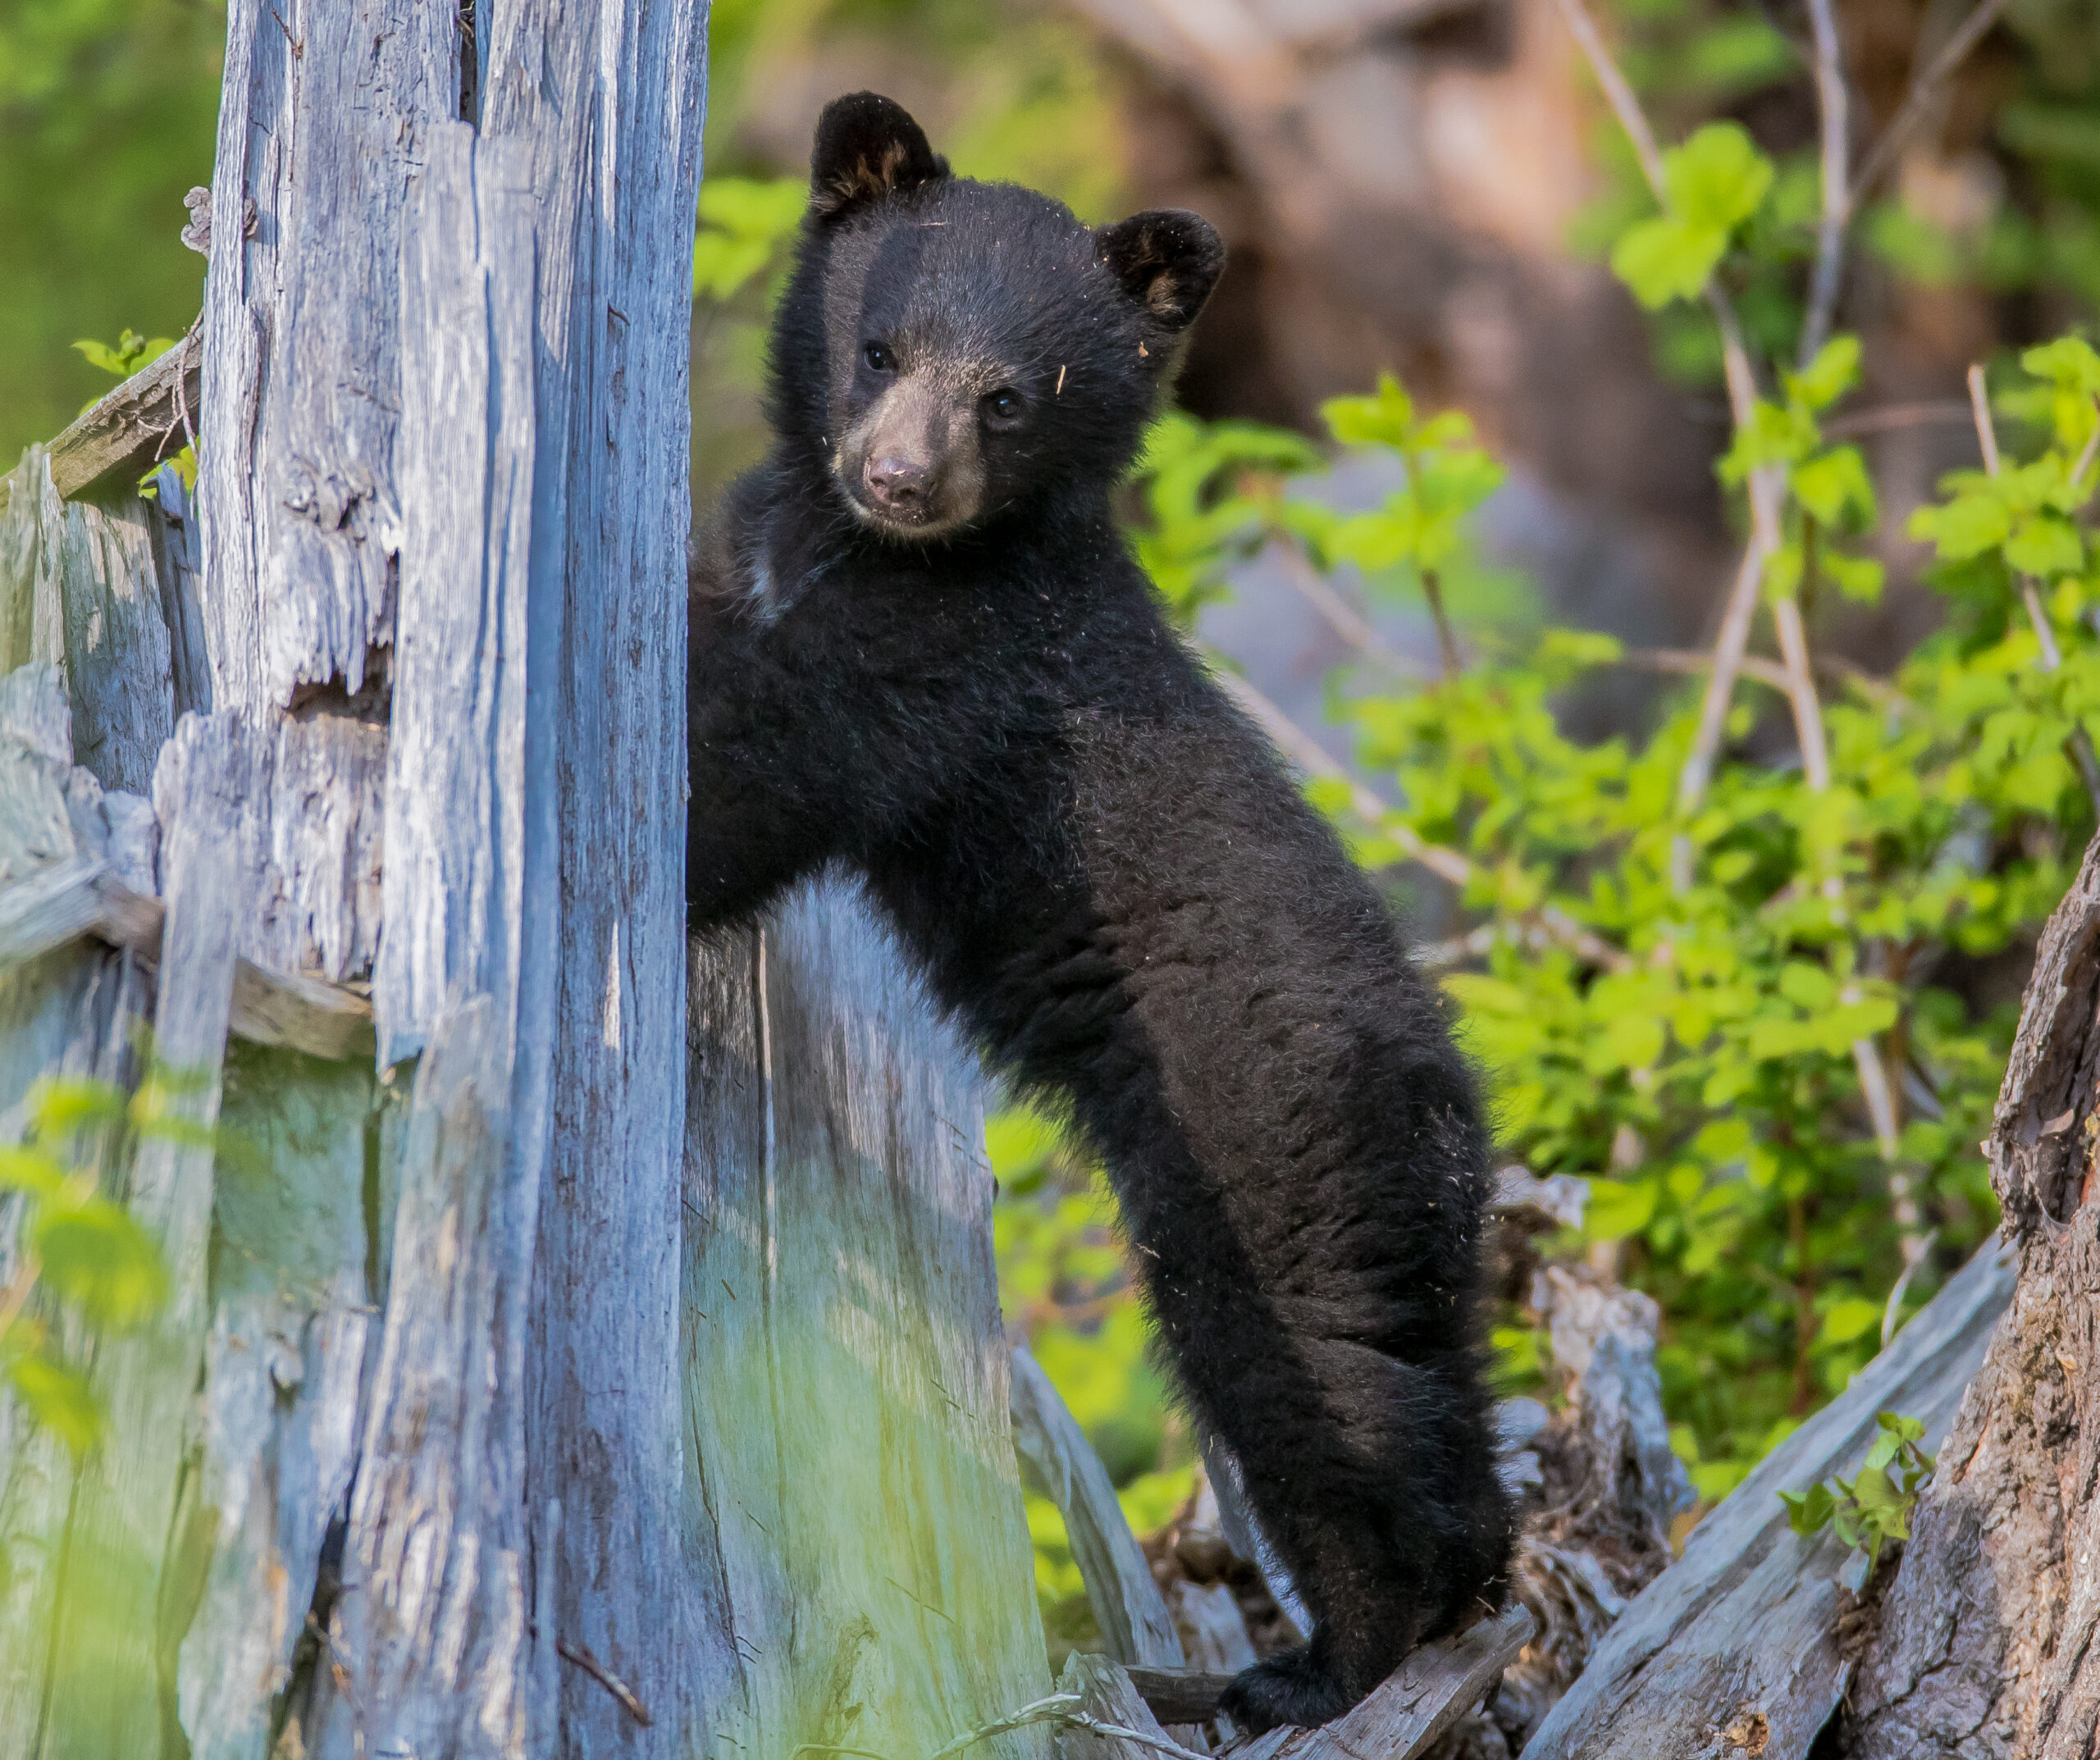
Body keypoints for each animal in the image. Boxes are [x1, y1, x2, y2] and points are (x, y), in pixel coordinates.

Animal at [686, 91, 1514, 1732]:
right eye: (878, 346)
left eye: (1009, 397)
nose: (898, 476)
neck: (876, 553)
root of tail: (1457, 1107)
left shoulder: (941, 665)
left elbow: (763, 769)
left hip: (1266, 1169)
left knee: (1325, 1394)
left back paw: (1311, 1662)